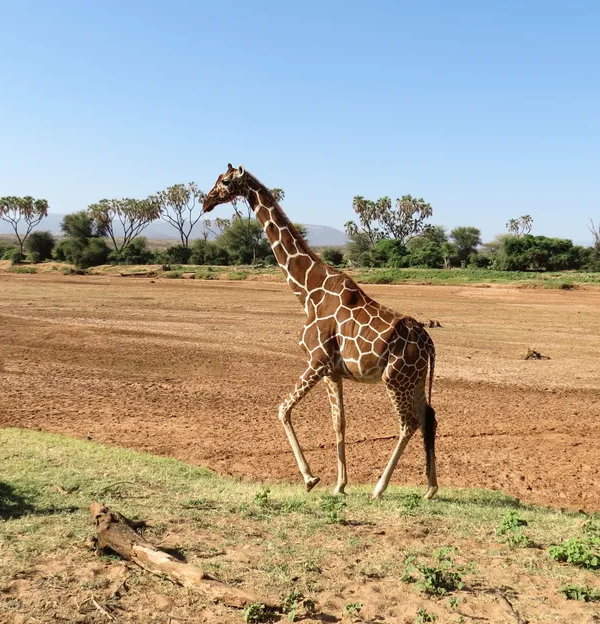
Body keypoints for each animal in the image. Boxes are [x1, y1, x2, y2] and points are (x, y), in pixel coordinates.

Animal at [204, 163, 438, 500]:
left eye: (224, 182)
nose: (205, 202)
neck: (307, 291)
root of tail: (429, 343)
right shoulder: (333, 371)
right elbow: (339, 424)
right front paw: (339, 485)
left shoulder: (316, 360)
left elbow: (282, 410)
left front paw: (310, 478)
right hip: (414, 379)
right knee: (428, 416)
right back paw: (431, 488)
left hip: (394, 378)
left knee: (409, 423)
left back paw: (379, 488)